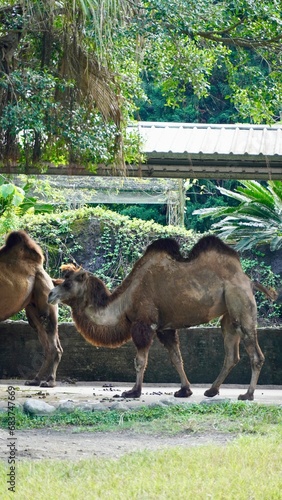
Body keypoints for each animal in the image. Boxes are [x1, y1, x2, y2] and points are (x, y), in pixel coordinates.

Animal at [0, 230, 62, 386]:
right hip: (33, 311)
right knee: (46, 343)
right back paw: (36, 380)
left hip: (46, 298)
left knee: (54, 346)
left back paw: (49, 382)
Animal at [48, 233, 278, 398]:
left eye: (66, 283)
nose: (50, 294)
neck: (125, 302)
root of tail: (249, 280)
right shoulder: (164, 328)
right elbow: (176, 358)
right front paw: (185, 390)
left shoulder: (144, 324)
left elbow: (140, 360)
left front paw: (133, 391)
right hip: (229, 314)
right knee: (231, 353)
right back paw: (212, 390)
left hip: (240, 302)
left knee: (255, 353)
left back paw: (247, 394)